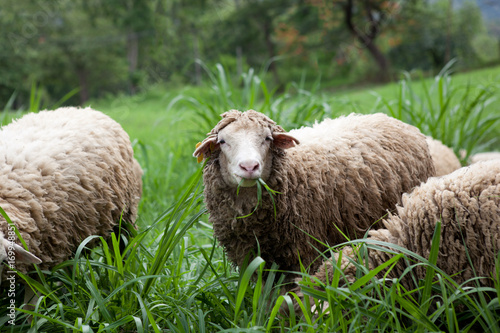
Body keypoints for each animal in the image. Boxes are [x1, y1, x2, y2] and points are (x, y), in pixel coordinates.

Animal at [193, 110, 436, 282]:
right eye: (222, 142)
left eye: (267, 139)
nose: (249, 166)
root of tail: (388, 118)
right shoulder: (252, 261)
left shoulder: (303, 254)